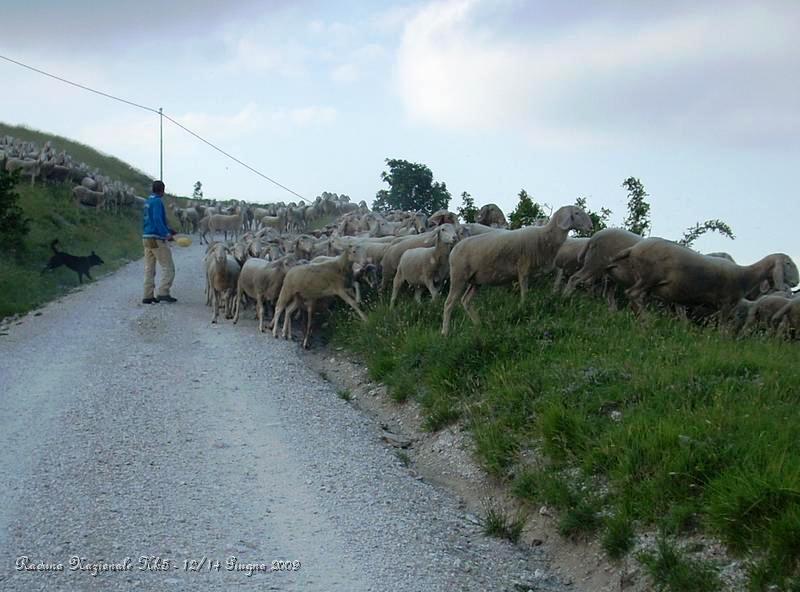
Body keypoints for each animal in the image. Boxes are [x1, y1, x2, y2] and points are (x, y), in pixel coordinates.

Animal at [438, 205, 592, 336]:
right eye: (577, 213)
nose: (591, 226)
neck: (545, 235)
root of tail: (455, 248)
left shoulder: (542, 267)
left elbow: (558, 272)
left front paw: (556, 292)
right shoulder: (523, 268)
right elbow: (525, 291)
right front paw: (523, 307)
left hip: (476, 280)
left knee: (466, 301)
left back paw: (478, 325)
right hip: (459, 276)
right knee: (449, 303)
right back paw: (445, 332)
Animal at [616, 237, 796, 322]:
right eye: (788, 263)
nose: (796, 282)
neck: (744, 275)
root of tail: (633, 248)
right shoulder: (726, 303)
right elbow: (723, 326)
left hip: (645, 280)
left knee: (636, 296)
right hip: (650, 276)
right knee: (632, 294)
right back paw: (646, 319)